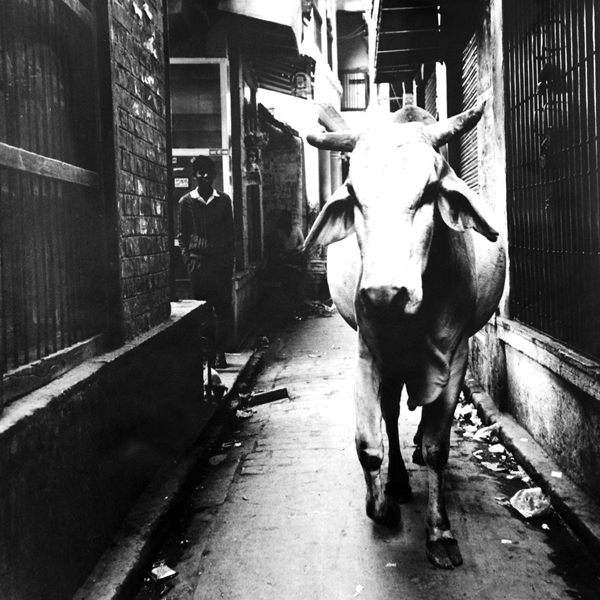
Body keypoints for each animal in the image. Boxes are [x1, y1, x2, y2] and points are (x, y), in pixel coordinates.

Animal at [303, 104, 506, 569]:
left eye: (429, 191)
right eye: (353, 195)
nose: (384, 295)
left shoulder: (454, 358)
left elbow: (437, 449)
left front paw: (440, 532)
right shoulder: (368, 354)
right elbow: (369, 442)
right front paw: (382, 506)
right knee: (393, 415)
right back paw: (396, 477)